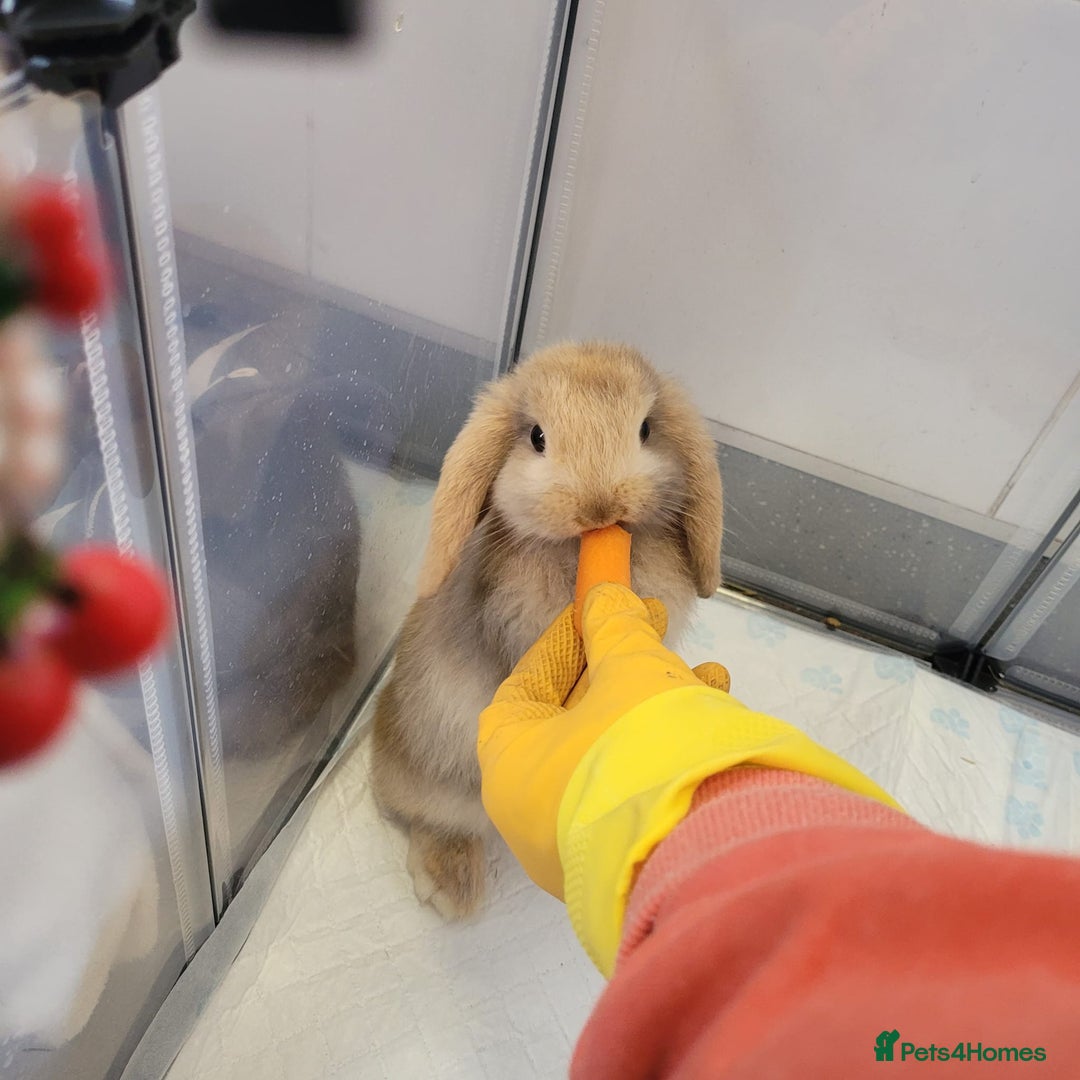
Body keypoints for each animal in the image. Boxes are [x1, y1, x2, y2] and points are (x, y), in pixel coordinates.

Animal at [370, 341, 723, 919]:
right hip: (444, 780)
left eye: (646, 428)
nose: (599, 505)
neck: (576, 554)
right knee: (427, 819)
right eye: (537, 436)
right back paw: (451, 887)